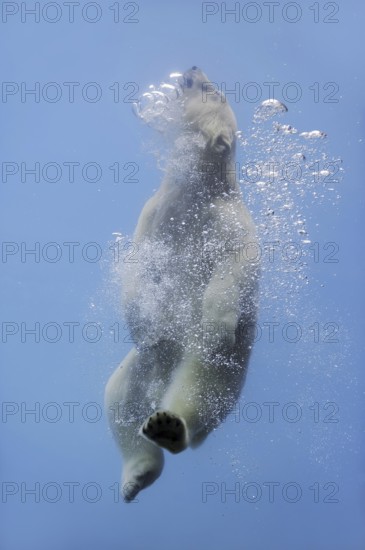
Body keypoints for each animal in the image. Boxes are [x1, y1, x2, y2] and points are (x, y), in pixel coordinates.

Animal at [104, 67, 258, 502]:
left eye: (210, 90)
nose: (191, 70)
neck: (197, 189)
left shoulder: (228, 220)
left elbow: (237, 266)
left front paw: (218, 321)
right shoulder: (157, 213)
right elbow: (139, 263)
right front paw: (142, 319)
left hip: (225, 360)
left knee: (203, 385)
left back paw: (171, 427)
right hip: (144, 363)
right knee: (120, 398)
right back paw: (137, 472)